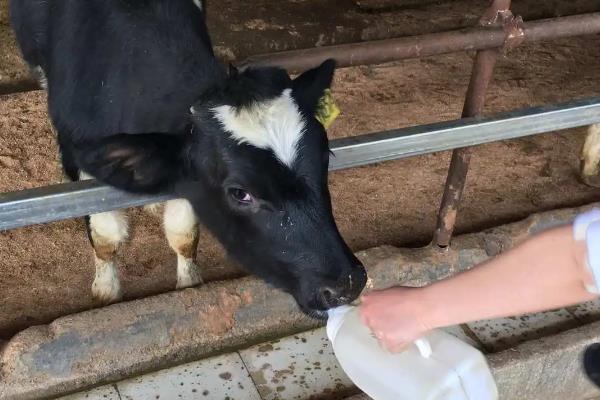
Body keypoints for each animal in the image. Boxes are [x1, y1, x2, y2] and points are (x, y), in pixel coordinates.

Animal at [9, 0, 366, 314]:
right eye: (240, 193)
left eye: (325, 158)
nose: (346, 284)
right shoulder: (78, 154)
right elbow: (106, 237)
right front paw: (106, 292)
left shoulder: (186, 174)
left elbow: (183, 235)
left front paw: (189, 285)